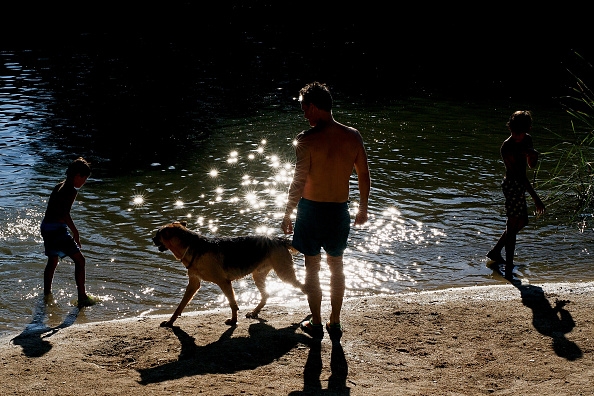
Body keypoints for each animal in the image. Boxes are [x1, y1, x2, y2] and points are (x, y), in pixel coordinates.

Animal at [153, 221, 302, 326]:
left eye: (158, 234)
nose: (152, 239)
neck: (191, 246)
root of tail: (280, 240)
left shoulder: (224, 282)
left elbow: (232, 304)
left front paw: (233, 321)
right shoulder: (194, 284)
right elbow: (180, 305)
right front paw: (170, 322)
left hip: (284, 274)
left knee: (304, 287)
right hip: (258, 275)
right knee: (266, 295)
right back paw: (254, 312)